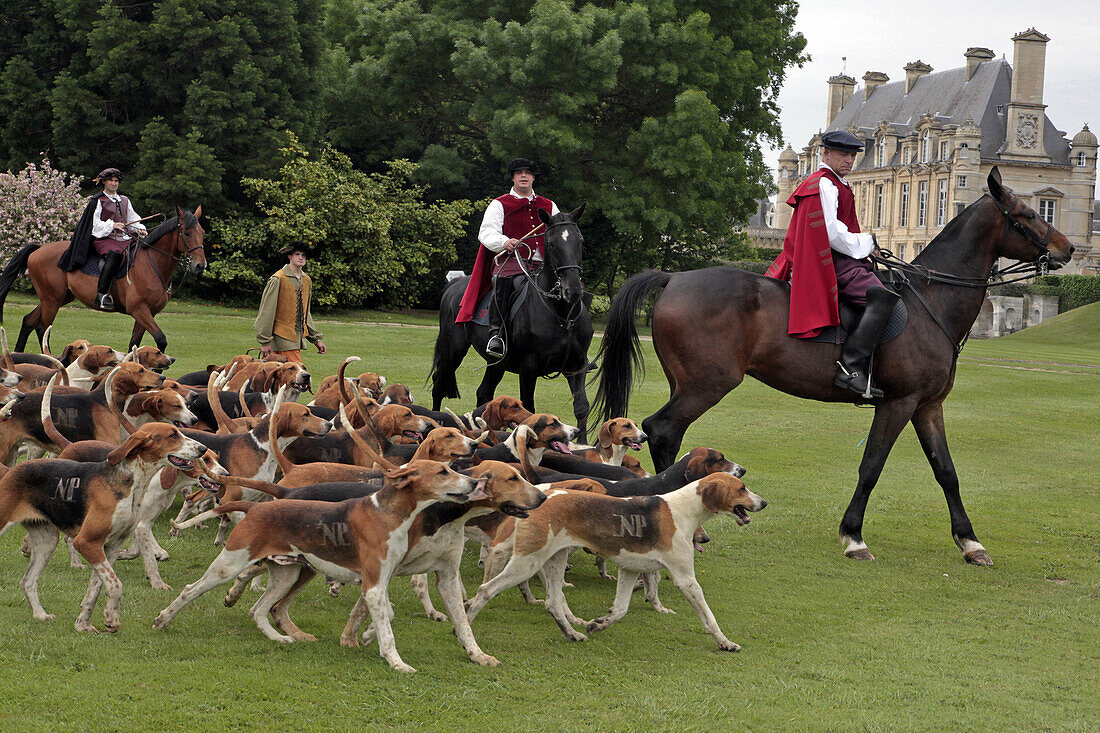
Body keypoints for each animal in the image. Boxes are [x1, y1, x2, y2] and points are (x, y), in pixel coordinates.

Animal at [0, 205, 206, 354]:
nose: (200, 265)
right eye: (187, 233)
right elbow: (161, 339)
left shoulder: (149, 313)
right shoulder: (139, 310)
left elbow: (135, 343)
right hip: (51, 300)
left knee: (28, 321)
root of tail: (40, 248)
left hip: (56, 298)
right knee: (43, 328)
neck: (152, 263)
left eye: (202, 232)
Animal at [433, 203, 598, 433]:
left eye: (579, 241)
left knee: (484, 394)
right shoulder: (529, 367)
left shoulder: (577, 365)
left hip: (496, 364)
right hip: (452, 352)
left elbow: (581, 408)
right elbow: (530, 408)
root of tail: (454, 284)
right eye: (552, 243)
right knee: (439, 386)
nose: (572, 290)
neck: (561, 313)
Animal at [594, 168, 1073, 561]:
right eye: (1028, 213)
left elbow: (946, 472)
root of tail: (674, 277)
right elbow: (872, 466)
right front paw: (854, 535)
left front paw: (969, 541)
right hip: (706, 385)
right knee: (664, 431)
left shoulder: (927, 407)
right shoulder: (898, 404)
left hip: (689, 384)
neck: (930, 301)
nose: (1067, 248)